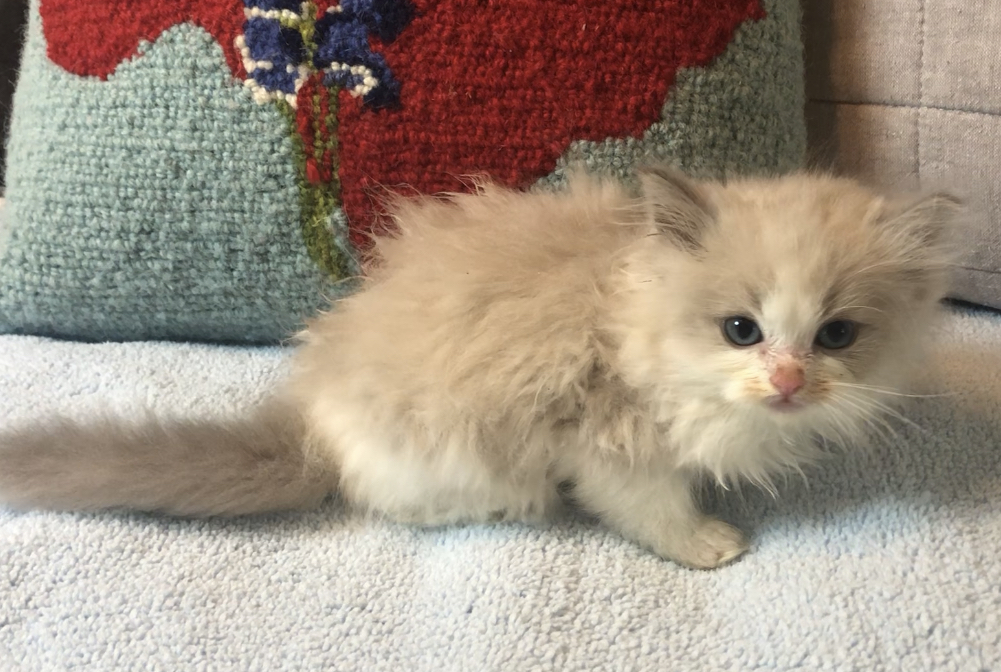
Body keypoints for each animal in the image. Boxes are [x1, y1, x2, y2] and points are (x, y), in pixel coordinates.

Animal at [0, 166, 959, 569]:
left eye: (836, 336)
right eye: (739, 330)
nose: (789, 382)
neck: (633, 314)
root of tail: (315, 430)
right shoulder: (608, 444)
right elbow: (653, 511)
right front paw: (709, 545)